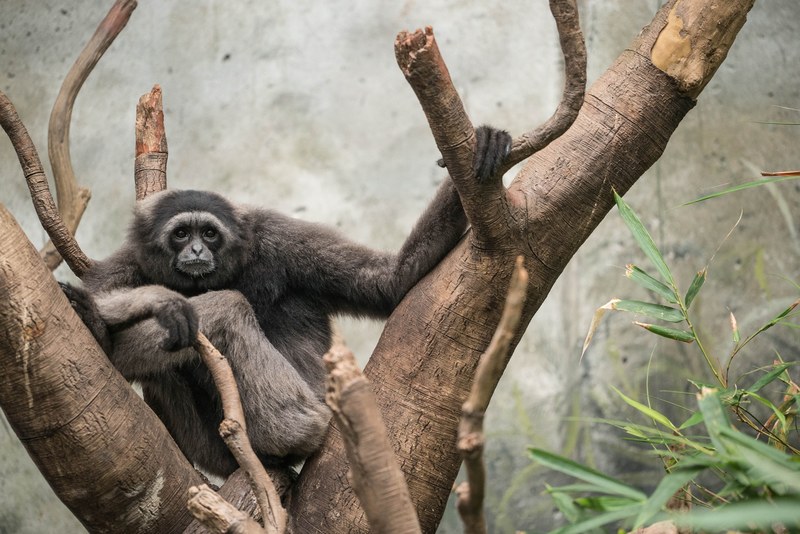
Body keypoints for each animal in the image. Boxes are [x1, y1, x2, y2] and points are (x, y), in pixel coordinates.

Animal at [61, 125, 512, 477]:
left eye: (209, 234)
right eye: (181, 234)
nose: (196, 251)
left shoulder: (278, 236)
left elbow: (390, 281)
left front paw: (483, 146)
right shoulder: (132, 260)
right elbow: (105, 295)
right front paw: (146, 304)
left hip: (314, 408)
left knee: (228, 309)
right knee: (160, 369)